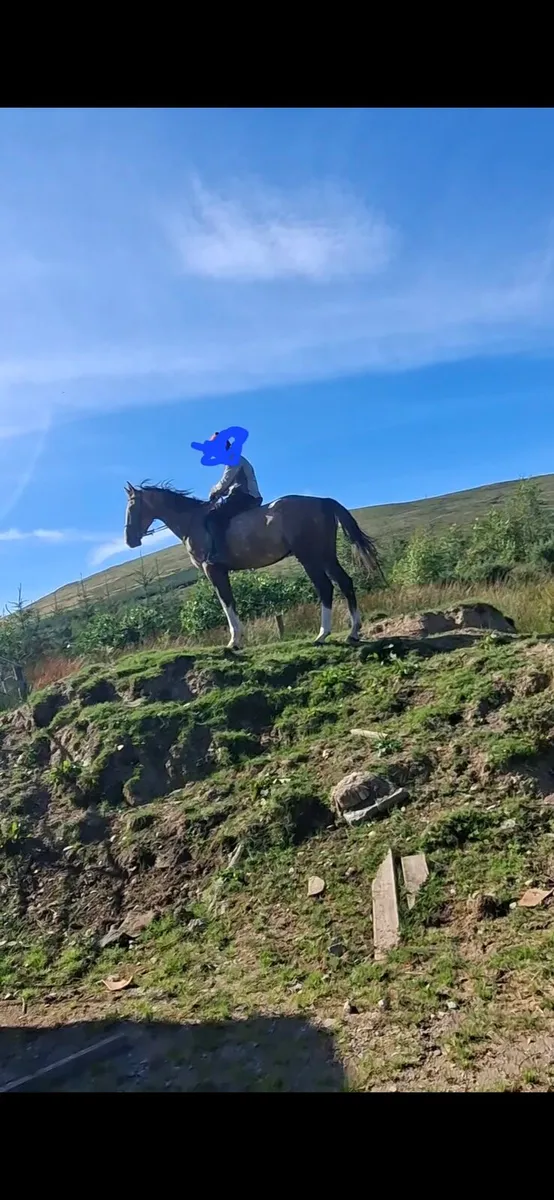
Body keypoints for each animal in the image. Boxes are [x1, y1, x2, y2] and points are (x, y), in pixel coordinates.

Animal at [124, 482, 384, 649]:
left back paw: (322, 635)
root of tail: (322, 502)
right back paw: (353, 633)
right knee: (345, 582)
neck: (191, 522)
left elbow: (226, 603)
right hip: (326, 555)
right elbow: (230, 602)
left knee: (325, 588)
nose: (129, 540)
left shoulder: (213, 571)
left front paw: (234, 641)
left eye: (133, 506)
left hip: (309, 556)